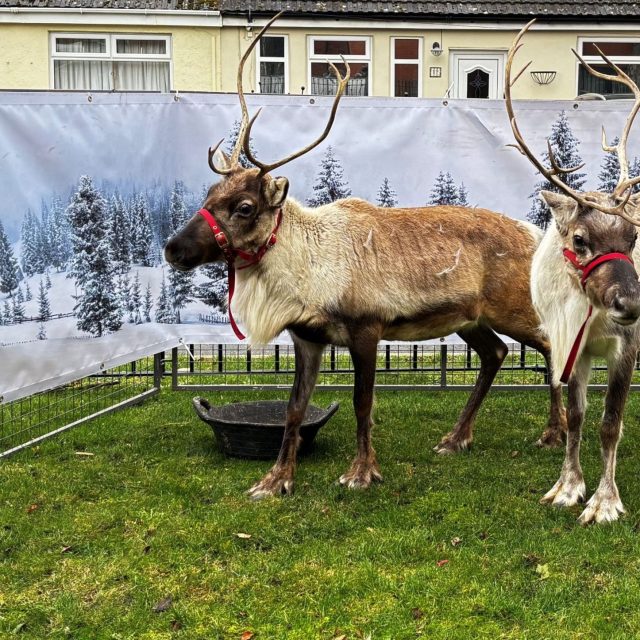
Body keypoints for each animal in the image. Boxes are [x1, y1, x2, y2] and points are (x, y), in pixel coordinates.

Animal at [165, 13, 567, 500]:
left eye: (244, 207)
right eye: (210, 192)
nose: (173, 248)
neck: (307, 269)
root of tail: (535, 233)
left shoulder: (366, 328)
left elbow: (362, 402)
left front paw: (361, 471)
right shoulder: (306, 337)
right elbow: (294, 408)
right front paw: (275, 479)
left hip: (513, 307)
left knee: (550, 344)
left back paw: (554, 433)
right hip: (469, 319)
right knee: (496, 354)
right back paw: (456, 438)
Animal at [506, 20, 640, 524]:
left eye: (633, 237)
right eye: (580, 240)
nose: (631, 303)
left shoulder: (627, 345)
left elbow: (610, 423)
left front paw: (605, 501)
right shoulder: (571, 347)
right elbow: (579, 417)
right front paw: (567, 486)